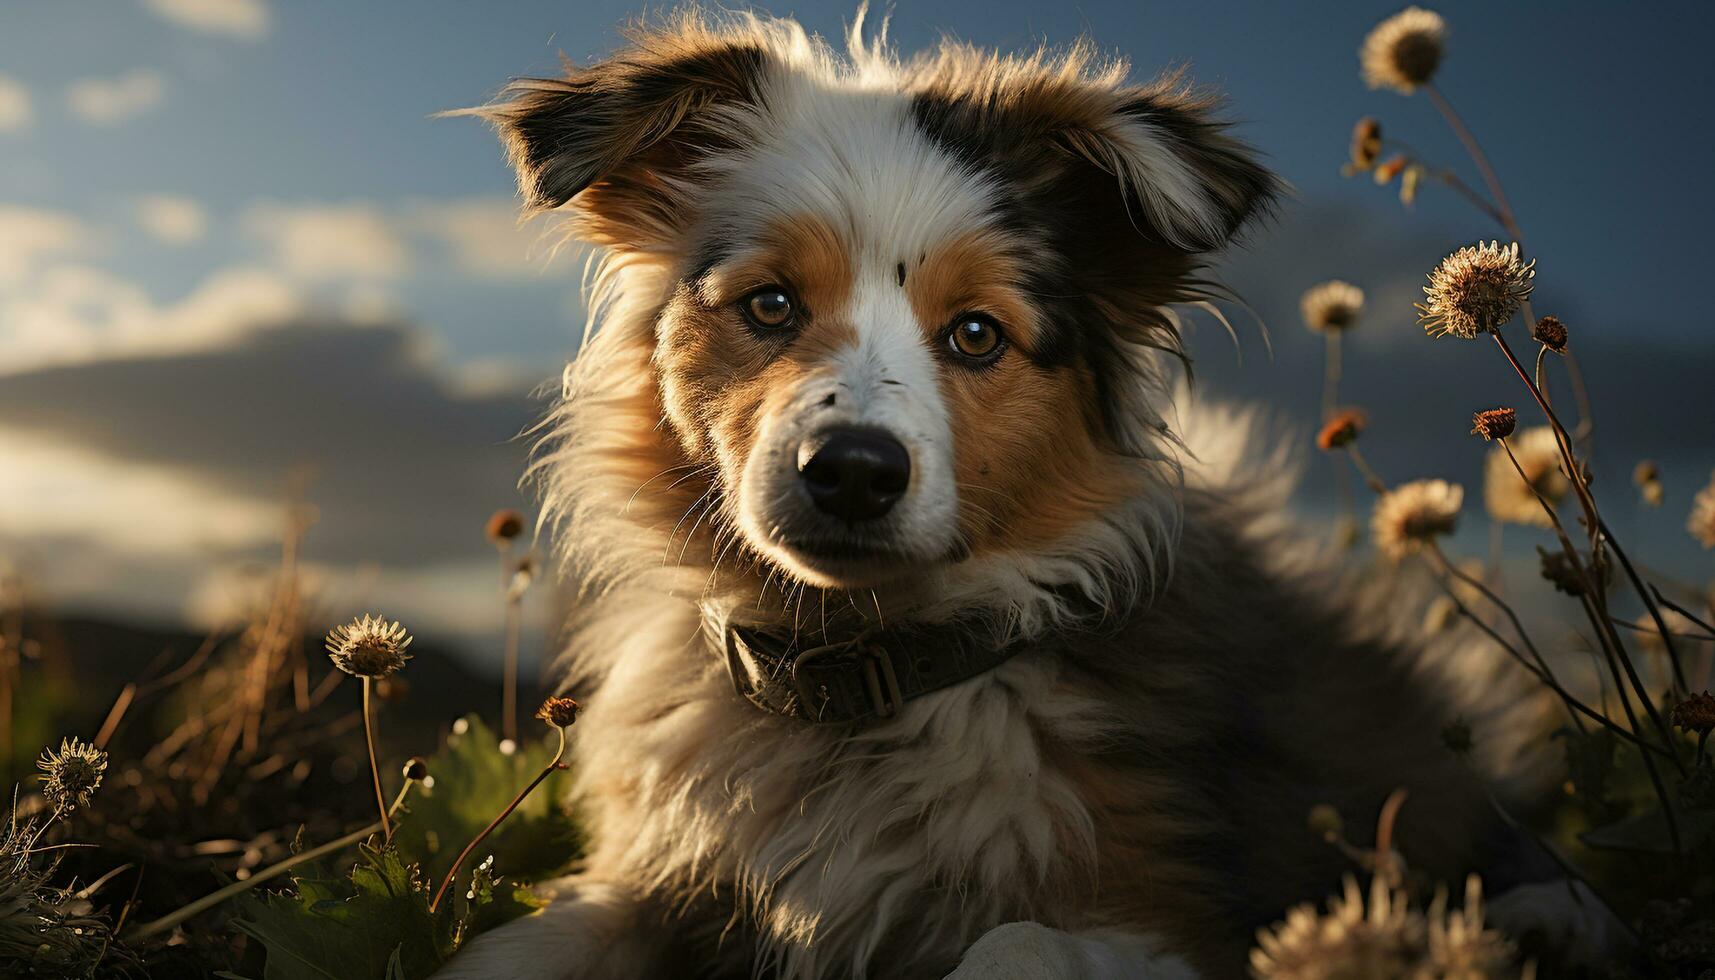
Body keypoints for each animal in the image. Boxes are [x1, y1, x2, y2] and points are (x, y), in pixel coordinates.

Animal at [435, 9, 1612, 980]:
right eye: (769, 305)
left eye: (974, 333)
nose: (852, 471)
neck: (857, 681)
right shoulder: (652, 875)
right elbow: (509, 945)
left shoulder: (1166, 915)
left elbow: (1013, 943)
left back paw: (1546, 919)